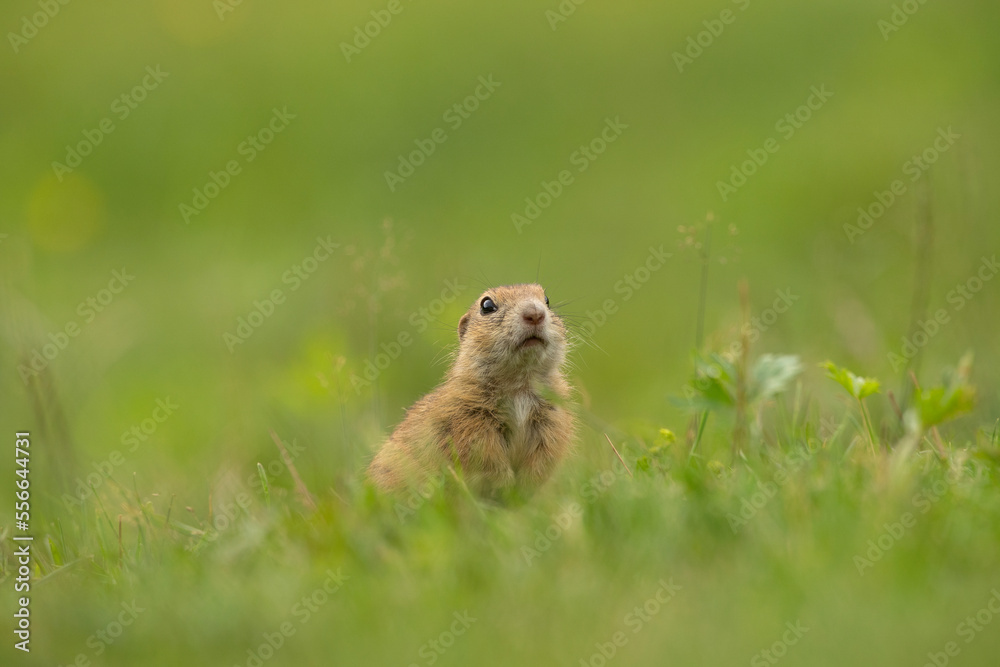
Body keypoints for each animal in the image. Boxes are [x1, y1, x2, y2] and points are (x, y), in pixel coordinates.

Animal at [368, 284, 576, 500]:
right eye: (487, 305)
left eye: (547, 300)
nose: (535, 314)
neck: (520, 385)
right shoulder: (470, 418)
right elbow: (485, 456)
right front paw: (504, 487)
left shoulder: (553, 417)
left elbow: (545, 454)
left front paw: (522, 490)